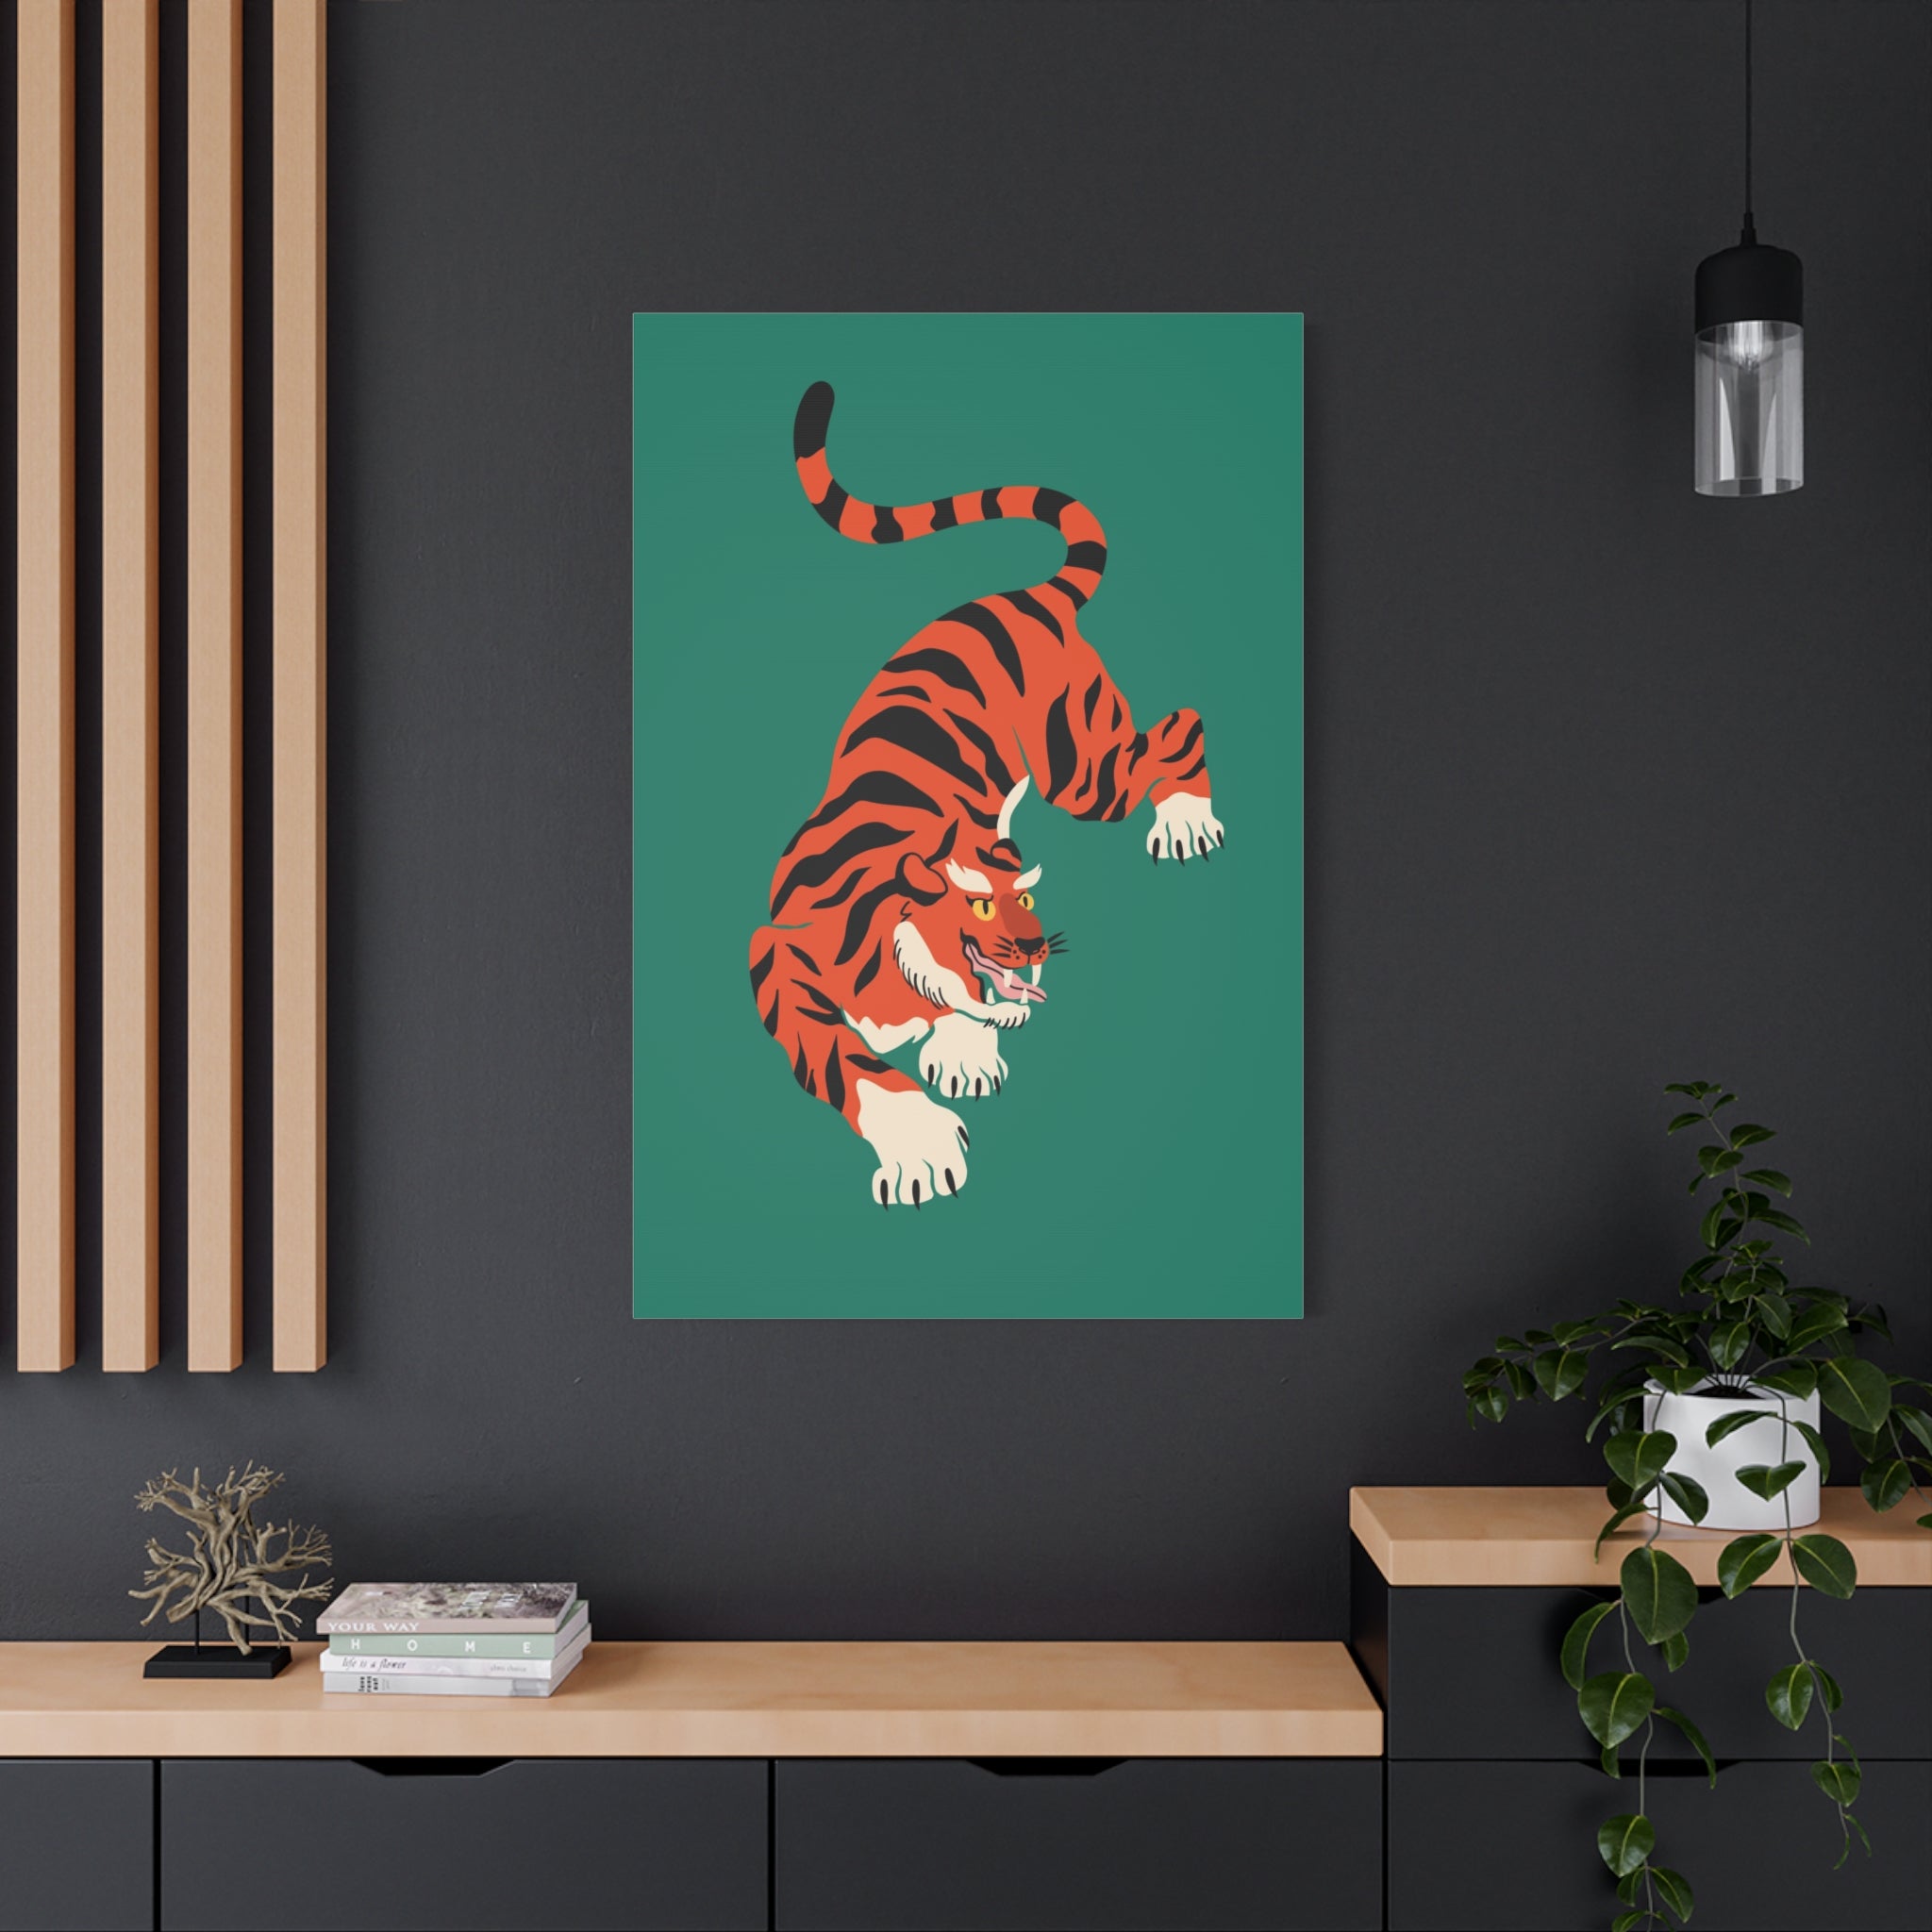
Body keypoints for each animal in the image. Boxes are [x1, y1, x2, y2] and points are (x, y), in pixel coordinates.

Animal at [747, 381, 1223, 1209]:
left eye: (1026, 898)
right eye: (977, 907)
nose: (1035, 948)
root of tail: (1027, 597)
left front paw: (963, 1058)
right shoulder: (776, 952)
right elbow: (844, 1056)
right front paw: (921, 1140)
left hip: (1081, 768)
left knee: (1181, 725)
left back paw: (1187, 821)